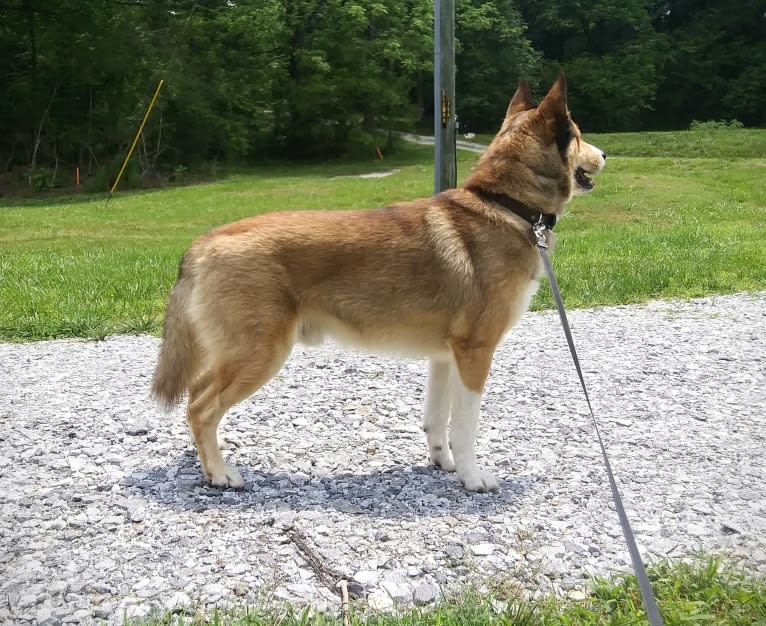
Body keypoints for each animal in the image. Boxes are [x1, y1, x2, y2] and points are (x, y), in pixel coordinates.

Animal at [150, 74, 608, 492]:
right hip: (259, 354)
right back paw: (219, 474)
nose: (605, 153)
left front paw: (443, 465)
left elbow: (436, 421)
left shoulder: (445, 357)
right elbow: (465, 427)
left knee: (197, 397)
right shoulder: (475, 354)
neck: (505, 204)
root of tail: (204, 241)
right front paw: (472, 478)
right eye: (578, 135)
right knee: (201, 407)